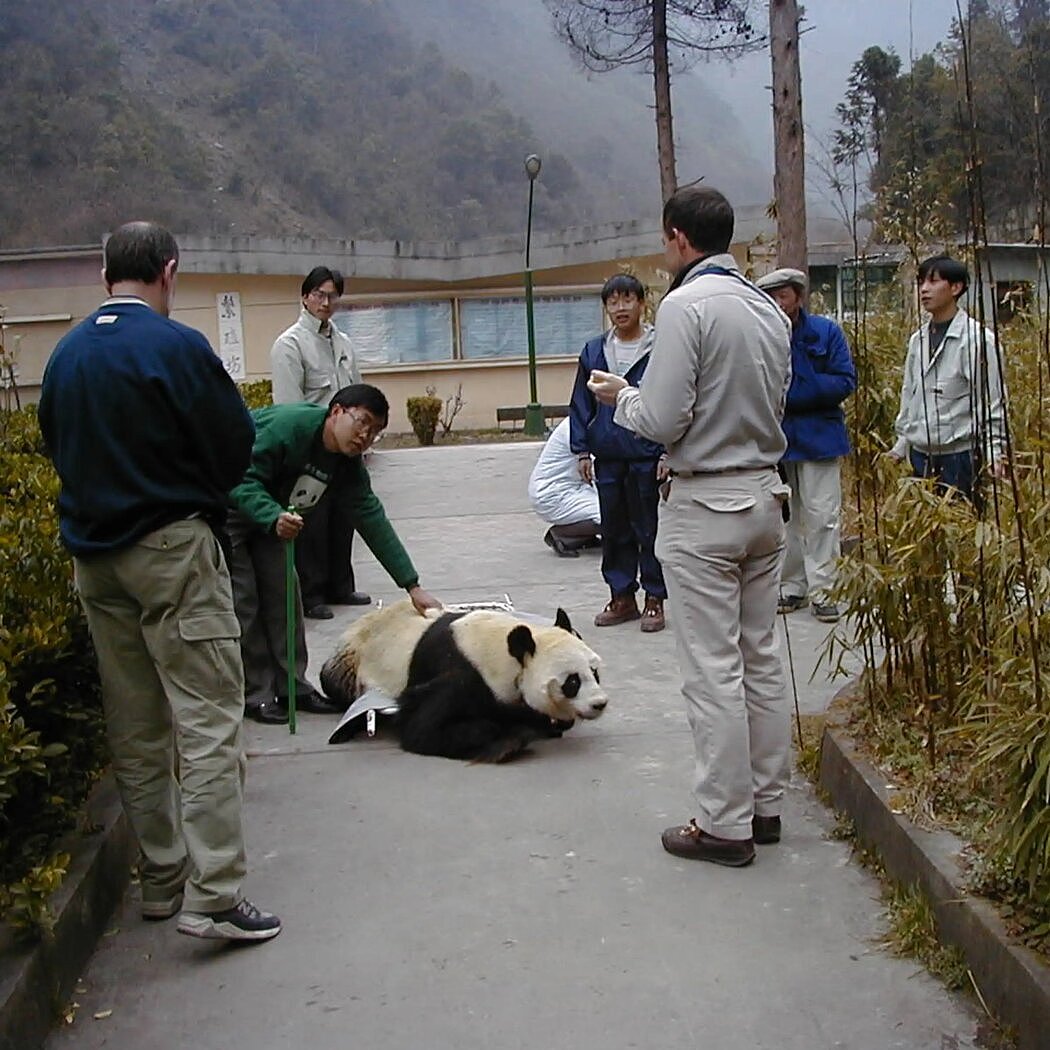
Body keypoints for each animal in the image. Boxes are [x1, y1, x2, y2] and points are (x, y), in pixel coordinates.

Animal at [317, 600, 609, 764]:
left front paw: (546, 722)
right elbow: (422, 729)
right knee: (334, 681)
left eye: (595, 672)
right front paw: (505, 738)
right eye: (572, 682)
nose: (599, 704)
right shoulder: (459, 673)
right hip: (351, 659)